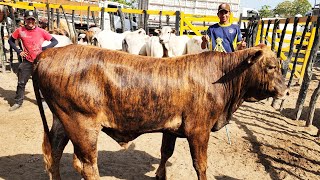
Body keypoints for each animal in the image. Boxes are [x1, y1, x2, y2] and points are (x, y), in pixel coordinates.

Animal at [32, 44, 288, 180]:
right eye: (270, 66)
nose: (285, 90)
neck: (221, 77)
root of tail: (47, 54)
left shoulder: (171, 129)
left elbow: (166, 152)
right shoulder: (198, 130)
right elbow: (201, 164)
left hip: (61, 121)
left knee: (53, 153)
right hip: (81, 125)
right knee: (87, 165)